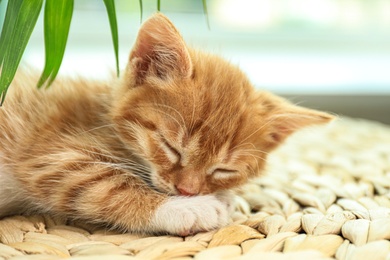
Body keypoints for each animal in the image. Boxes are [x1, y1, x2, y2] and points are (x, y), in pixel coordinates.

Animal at [0, 13, 332, 235]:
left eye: (224, 170)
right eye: (171, 147)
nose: (186, 191)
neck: (104, 117)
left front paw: (220, 195)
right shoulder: (49, 153)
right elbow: (106, 185)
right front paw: (189, 208)